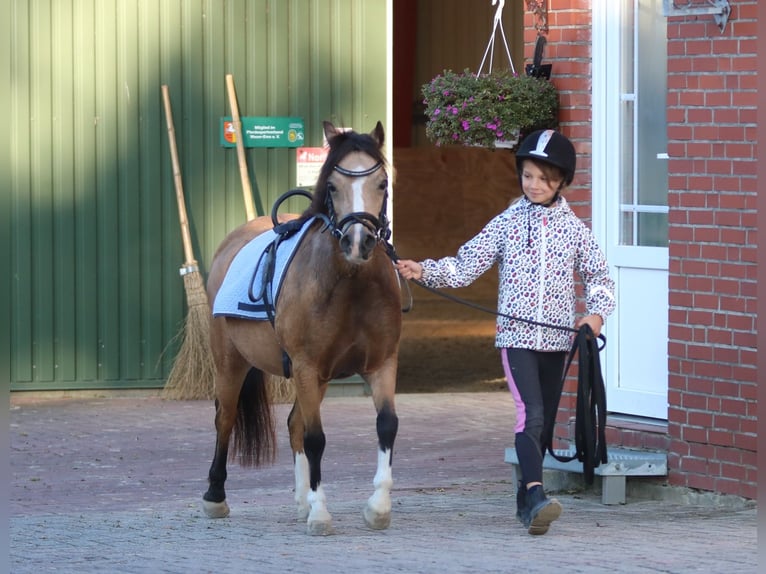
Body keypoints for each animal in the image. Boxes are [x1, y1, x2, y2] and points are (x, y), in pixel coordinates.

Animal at [201, 119, 404, 536]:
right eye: (332, 187)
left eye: (381, 183)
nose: (359, 241)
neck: (351, 286)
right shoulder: (308, 368)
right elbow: (315, 439)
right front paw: (320, 514)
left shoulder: (381, 364)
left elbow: (386, 425)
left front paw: (377, 508)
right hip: (230, 361)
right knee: (225, 417)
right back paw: (216, 496)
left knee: (293, 423)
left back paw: (300, 501)